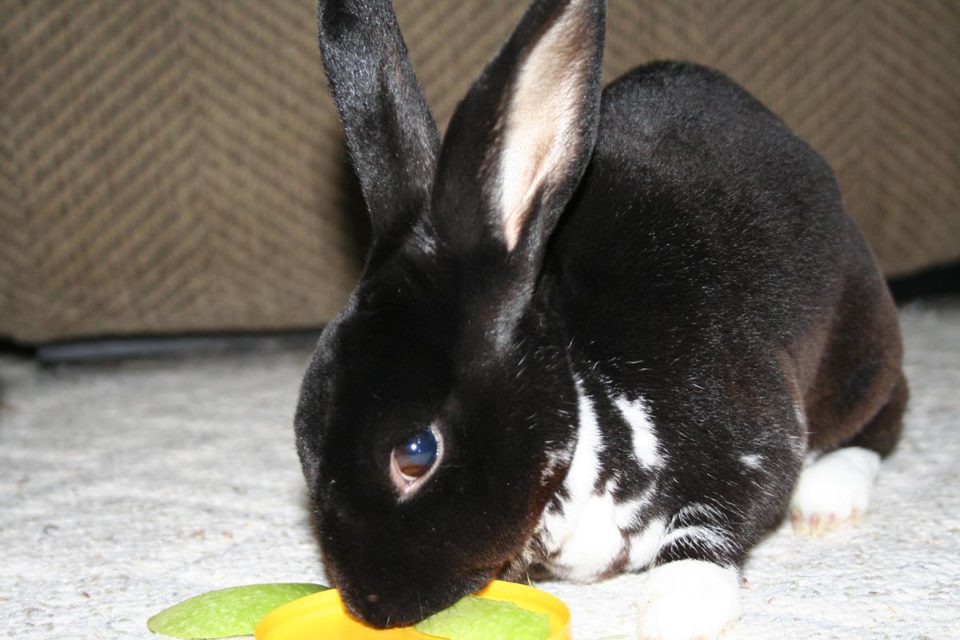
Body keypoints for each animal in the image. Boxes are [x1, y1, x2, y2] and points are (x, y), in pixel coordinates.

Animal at [294, 0, 908, 637]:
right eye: (301, 438)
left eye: (415, 452)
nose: (370, 606)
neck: (582, 401)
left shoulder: (759, 439)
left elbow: (718, 523)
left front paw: (677, 608)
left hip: (857, 355)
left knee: (885, 414)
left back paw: (828, 498)